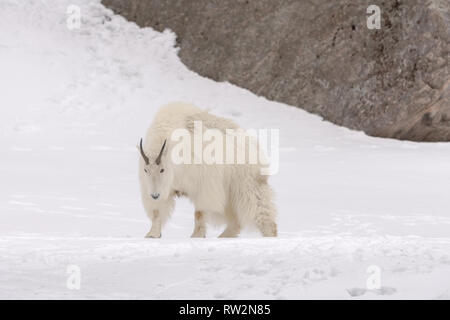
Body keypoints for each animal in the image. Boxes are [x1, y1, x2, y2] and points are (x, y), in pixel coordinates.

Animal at [138, 102, 278, 238]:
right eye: (146, 170)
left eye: (162, 169)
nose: (155, 195)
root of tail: (254, 145)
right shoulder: (159, 187)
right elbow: (157, 211)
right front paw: (152, 234)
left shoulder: (204, 183)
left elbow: (200, 211)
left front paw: (197, 235)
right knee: (236, 220)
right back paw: (223, 236)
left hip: (244, 183)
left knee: (259, 207)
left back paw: (269, 233)